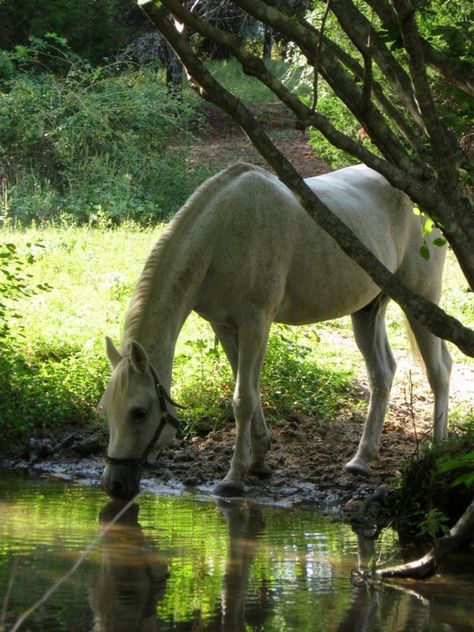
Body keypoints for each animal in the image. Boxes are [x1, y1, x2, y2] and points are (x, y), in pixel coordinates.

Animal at [101, 162, 452, 498]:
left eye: (139, 412)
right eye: (106, 409)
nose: (114, 485)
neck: (221, 235)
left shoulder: (255, 322)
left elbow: (242, 398)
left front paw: (233, 477)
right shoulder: (225, 326)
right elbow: (251, 392)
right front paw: (259, 462)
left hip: (420, 301)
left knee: (439, 371)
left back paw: (438, 450)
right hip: (367, 311)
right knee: (383, 373)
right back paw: (361, 459)